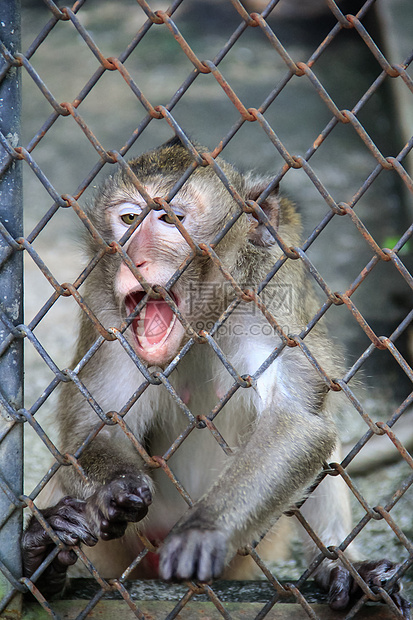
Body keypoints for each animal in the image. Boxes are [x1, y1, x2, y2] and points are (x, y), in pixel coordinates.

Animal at [21, 136, 408, 616]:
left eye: (170, 219)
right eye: (128, 219)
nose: (135, 257)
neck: (203, 320)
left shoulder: (268, 295)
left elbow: (296, 418)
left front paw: (204, 529)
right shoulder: (104, 310)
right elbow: (98, 423)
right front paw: (115, 490)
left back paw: (342, 567)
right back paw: (44, 550)